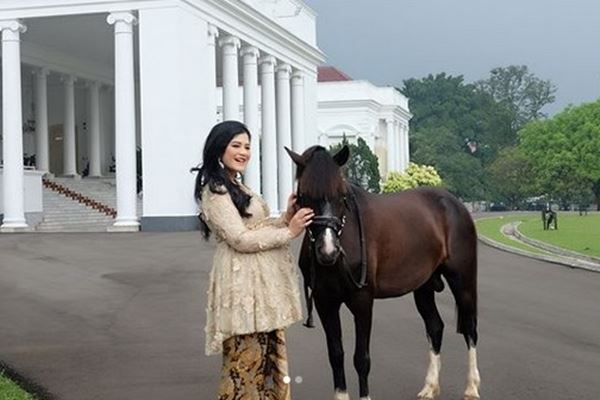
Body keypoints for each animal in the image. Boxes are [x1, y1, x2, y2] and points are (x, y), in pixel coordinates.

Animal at [288, 145, 482, 400]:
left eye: (341, 195)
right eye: (304, 195)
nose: (327, 251)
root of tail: (453, 202)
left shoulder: (362, 301)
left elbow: (361, 358)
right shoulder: (325, 302)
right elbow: (336, 355)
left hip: (462, 280)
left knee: (470, 328)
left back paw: (471, 388)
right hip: (424, 286)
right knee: (435, 327)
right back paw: (429, 387)